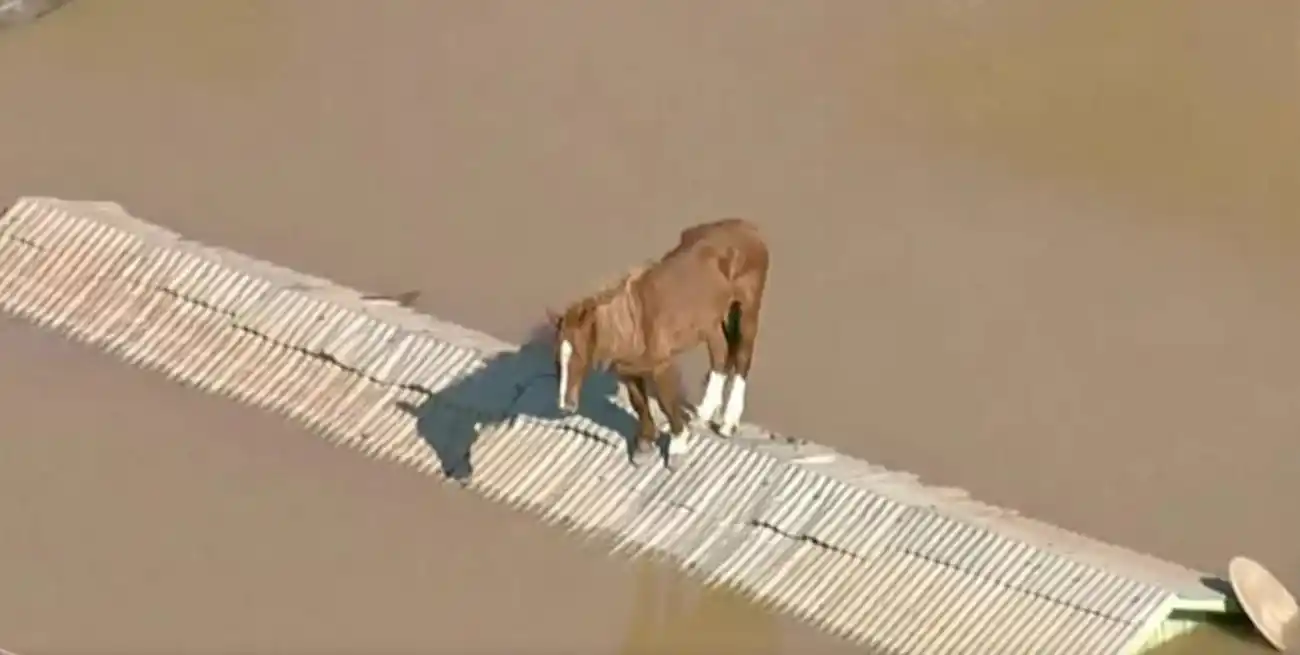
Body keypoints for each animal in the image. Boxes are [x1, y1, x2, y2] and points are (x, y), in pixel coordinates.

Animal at [549, 217, 769, 460]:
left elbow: (666, 403)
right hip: (711, 320)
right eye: (557, 360)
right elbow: (639, 403)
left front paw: (678, 446)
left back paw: (728, 423)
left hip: (746, 309)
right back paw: (703, 412)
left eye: (579, 355)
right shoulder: (628, 371)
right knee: (720, 352)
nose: (564, 406)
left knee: (742, 357)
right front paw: (645, 444)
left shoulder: (662, 368)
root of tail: (748, 227)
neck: (634, 323)